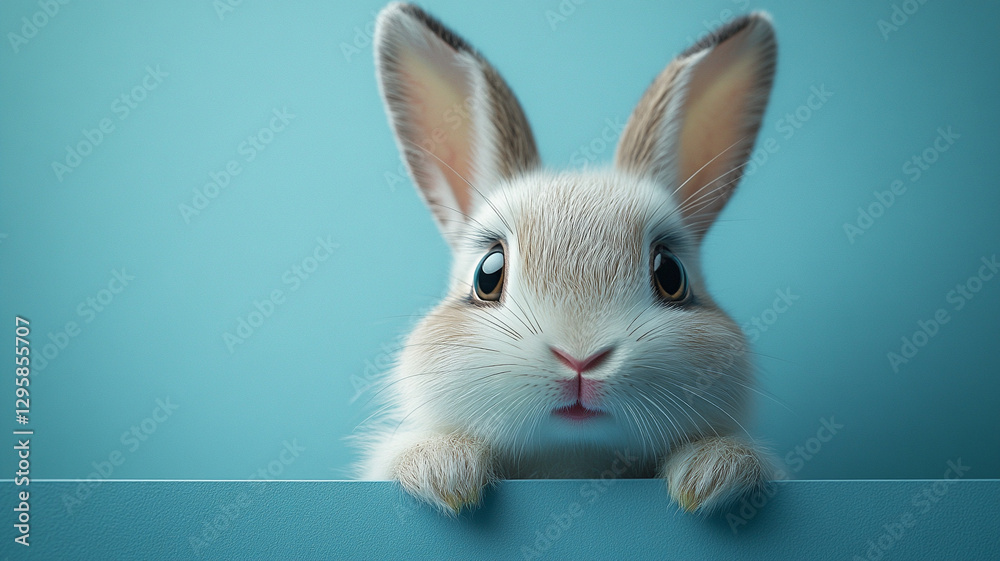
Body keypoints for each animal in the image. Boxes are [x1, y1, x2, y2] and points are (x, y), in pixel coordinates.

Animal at [358, 2, 779, 516]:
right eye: (487, 275)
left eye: (671, 275)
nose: (581, 358)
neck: (571, 463)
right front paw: (442, 471)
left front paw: (713, 473)